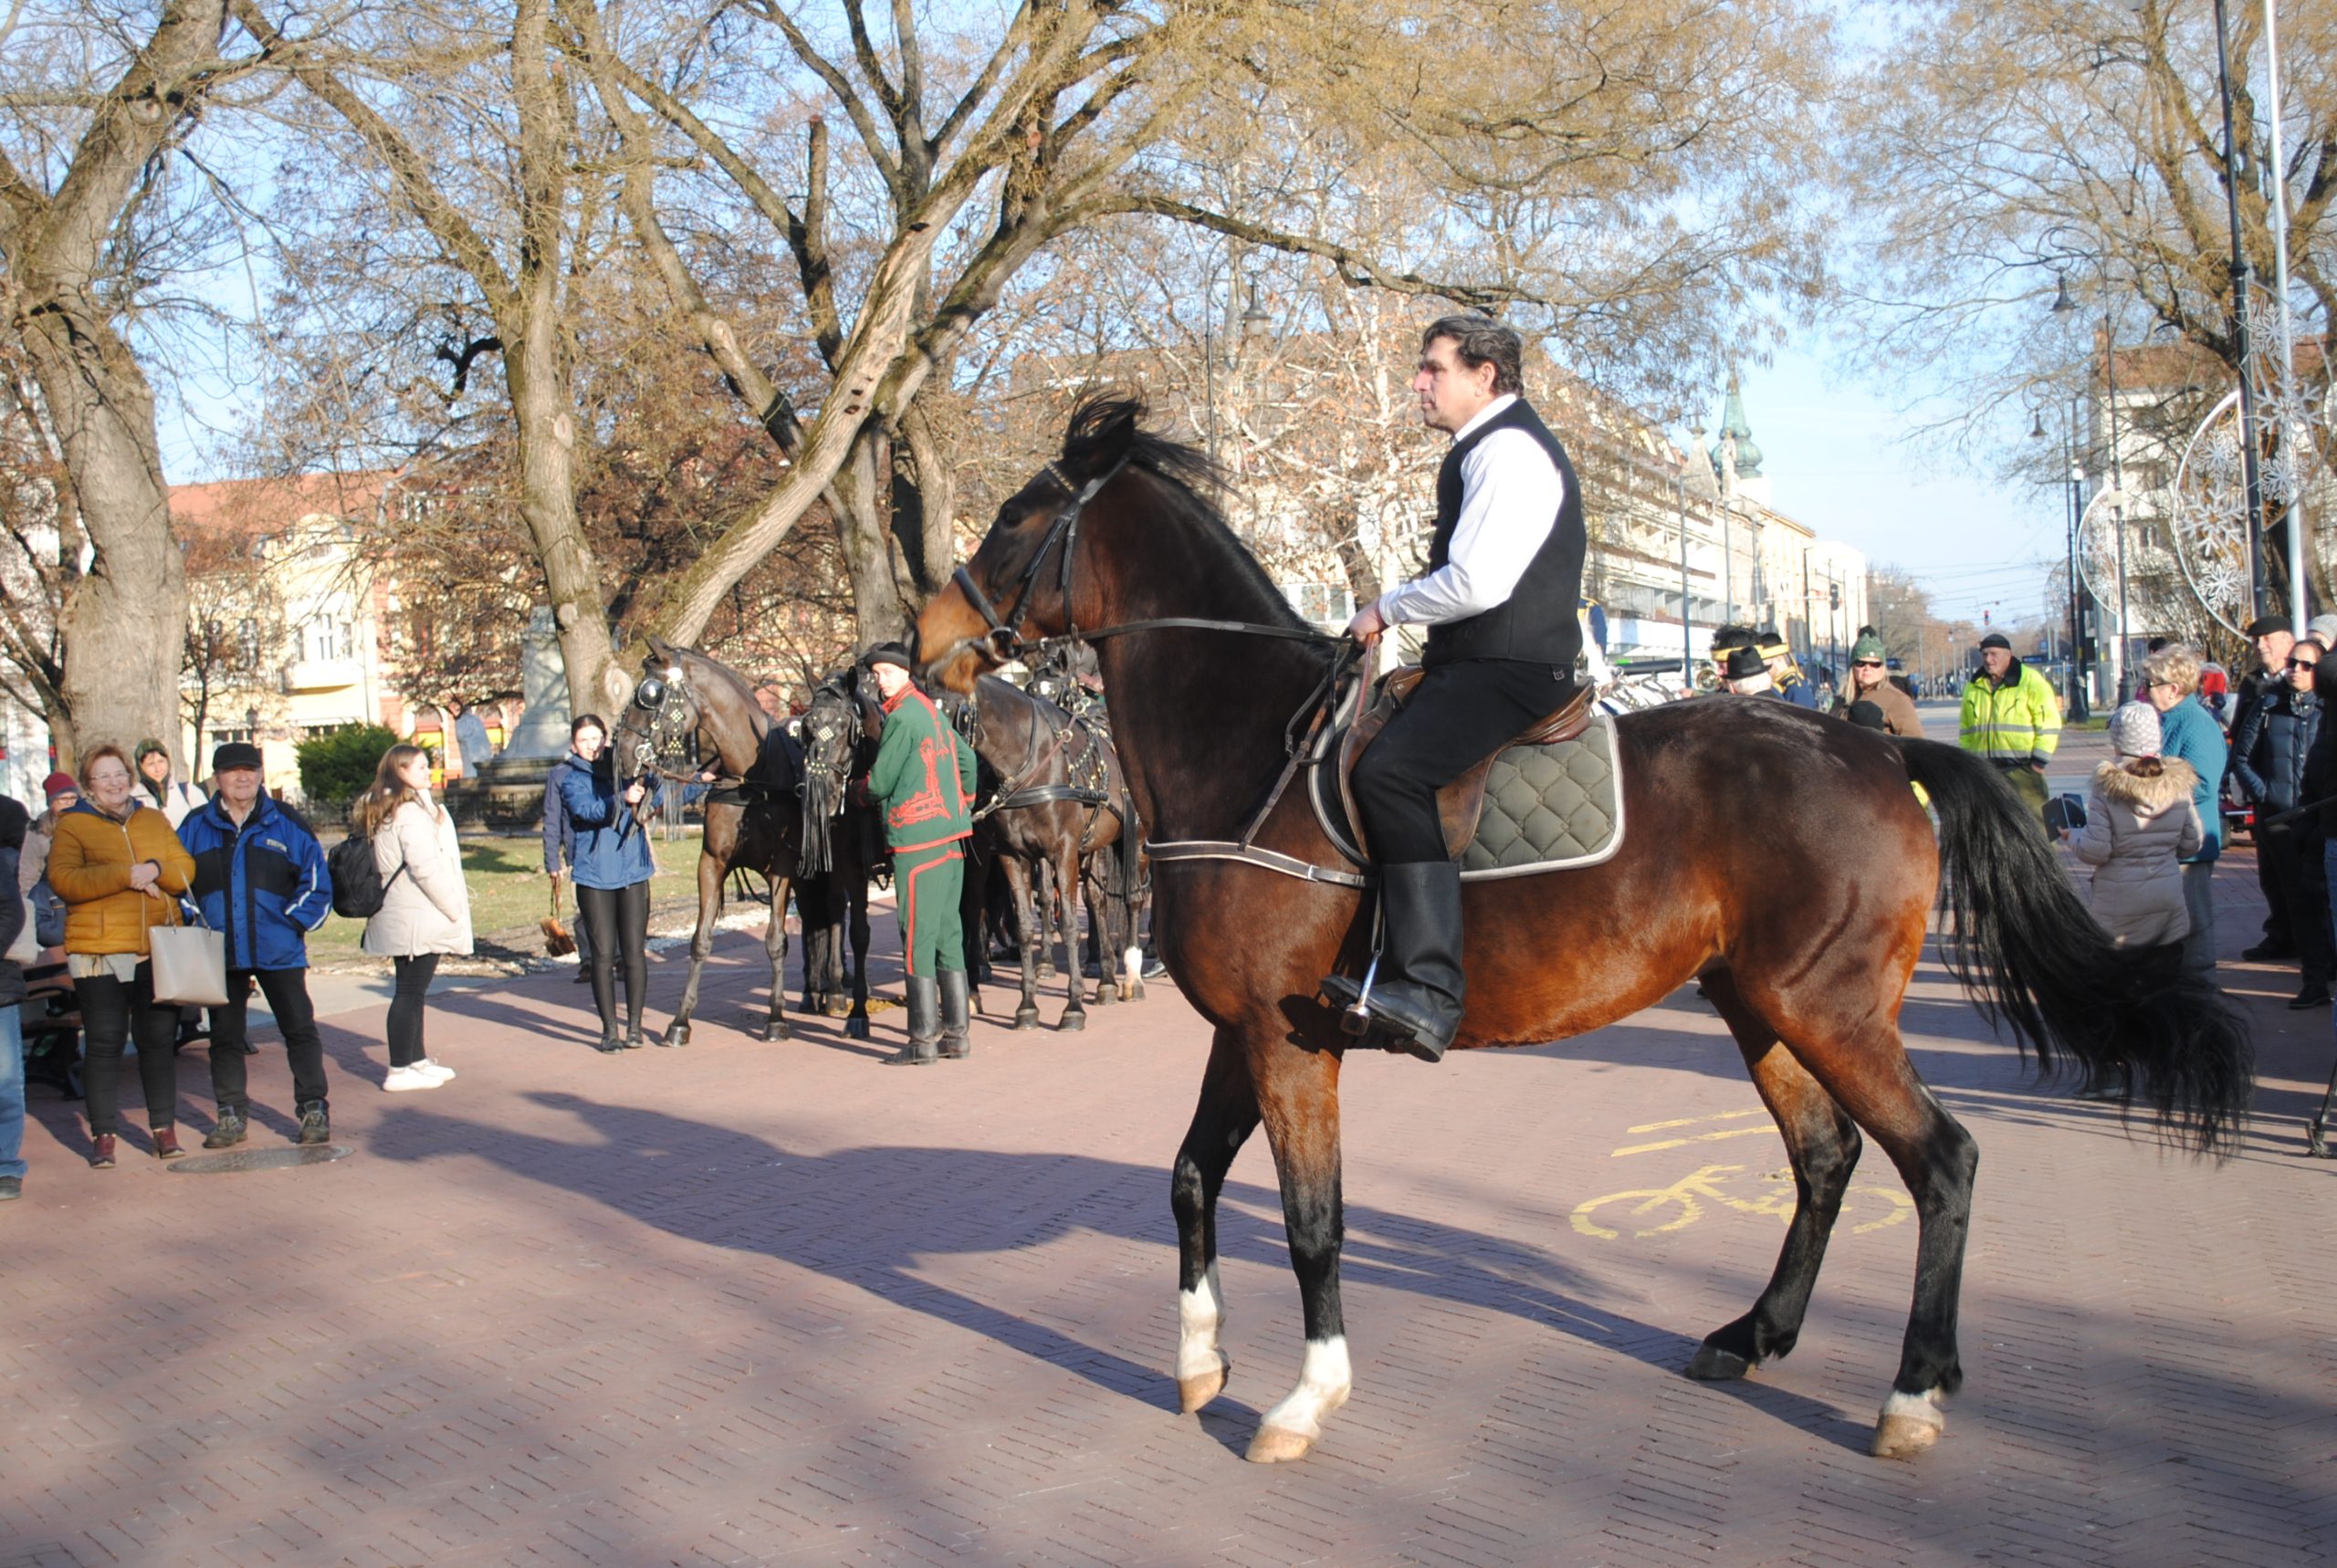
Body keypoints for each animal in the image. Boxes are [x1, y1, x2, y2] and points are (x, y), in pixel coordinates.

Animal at [616, 631, 799, 1047]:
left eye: (649, 694)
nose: (620, 753)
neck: (751, 778)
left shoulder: (781, 870)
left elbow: (775, 940)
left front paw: (776, 1017)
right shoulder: (712, 863)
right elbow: (700, 940)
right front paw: (680, 1020)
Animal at [920, 394, 2252, 1477]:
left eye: (1015, 516)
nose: (924, 639)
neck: (1256, 746)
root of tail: (1873, 749)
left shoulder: (1293, 1046)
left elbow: (1311, 1223)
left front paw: (1304, 1398)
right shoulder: (1248, 1030)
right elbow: (1192, 1176)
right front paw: (1201, 1361)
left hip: (1829, 1008)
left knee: (1943, 1160)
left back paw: (1912, 1393)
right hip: (1761, 1003)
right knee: (1824, 1160)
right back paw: (1754, 1333)